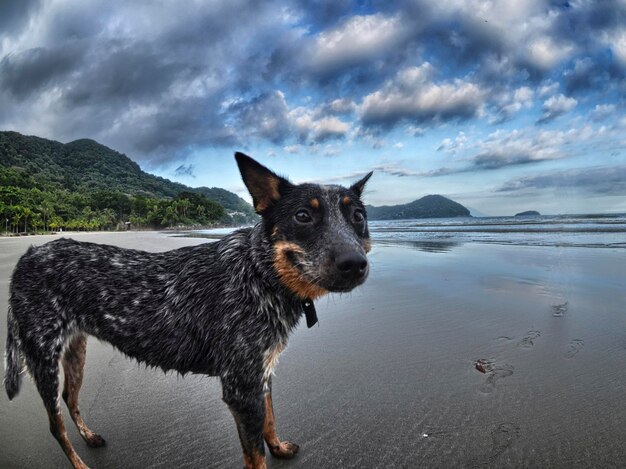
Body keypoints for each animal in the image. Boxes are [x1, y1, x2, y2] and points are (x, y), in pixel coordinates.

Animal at [3, 154, 370, 468]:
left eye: (359, 217)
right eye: (303, 216)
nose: (355, 264)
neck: (260, 274)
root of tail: (27, 256)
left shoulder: (260, 373)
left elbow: (270, 418)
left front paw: (278, 446)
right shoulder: (240, 387)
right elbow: (255, 455)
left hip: (75, 351)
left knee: (71, 398)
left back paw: (89, 436)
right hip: (43, 359)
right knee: (56, 426)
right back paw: (79, 463)